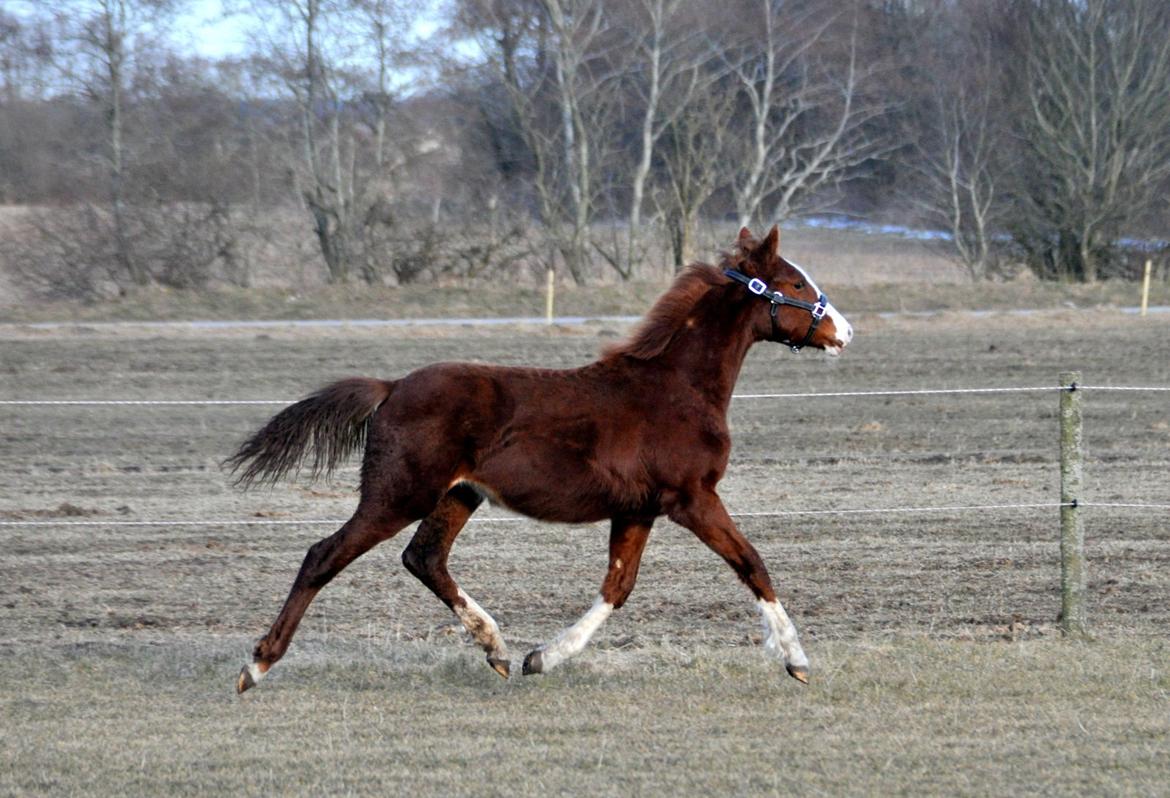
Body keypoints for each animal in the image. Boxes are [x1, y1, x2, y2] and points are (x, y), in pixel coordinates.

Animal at [228, 225, 851, 688]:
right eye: (795, 282)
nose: (844, 332)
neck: (676, 388)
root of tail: (392, 385)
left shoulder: (638, 508)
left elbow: (617, 587)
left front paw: (540, 658)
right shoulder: (692, 498)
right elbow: (752, 563)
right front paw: (796, 660)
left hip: (459, 494)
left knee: (424, 558)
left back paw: (497, 649)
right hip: (398, 493)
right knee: (324, 555)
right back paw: (257, 664)